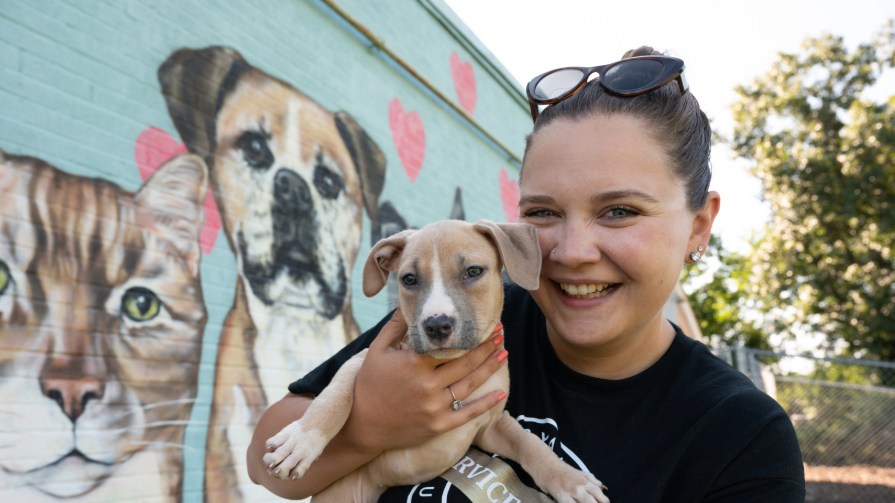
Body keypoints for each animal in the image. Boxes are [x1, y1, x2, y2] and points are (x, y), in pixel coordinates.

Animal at [262, 220, 604, 503]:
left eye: (473, 271)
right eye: (409, 279)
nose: (437, 325)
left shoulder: (490, 425)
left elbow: (530, 444)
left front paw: (571, 481)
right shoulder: (360, 362)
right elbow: (333, 398)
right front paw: (300, 440)